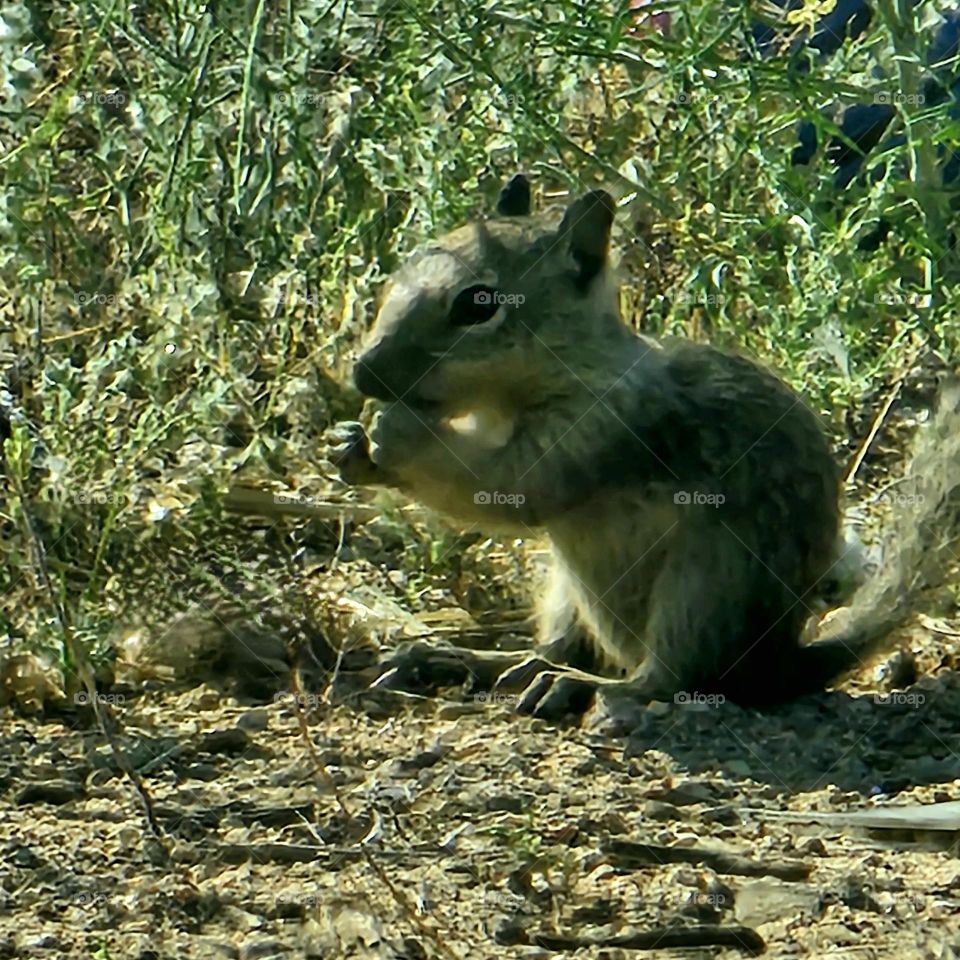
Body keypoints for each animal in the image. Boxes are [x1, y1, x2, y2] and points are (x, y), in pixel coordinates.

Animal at [328, 173, 960, 721]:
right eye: (406, 266)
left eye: (478, 304)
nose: (362, 374)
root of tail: (778, 664)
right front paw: (348, 445)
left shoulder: (599, 429)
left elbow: (507, 486)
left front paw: (394, 434)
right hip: (568, 590)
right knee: (561, 647)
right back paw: (459, 660)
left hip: (703, 589)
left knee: (670, 678)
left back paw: (576, 687)